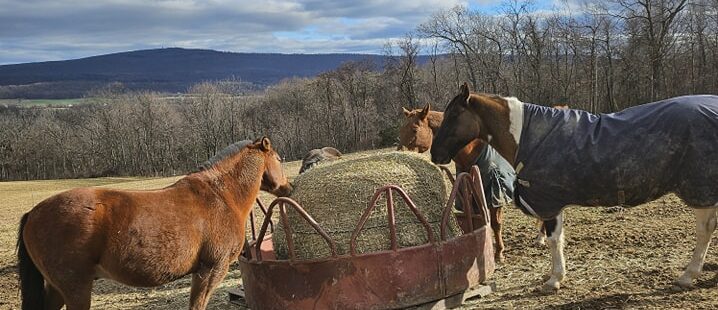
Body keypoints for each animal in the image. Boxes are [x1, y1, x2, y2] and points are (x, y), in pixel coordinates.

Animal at [16, 138, 292, 310]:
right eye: (279, 158)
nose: (288, 187)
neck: (221, 196)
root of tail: (33, 213)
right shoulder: (211, 269)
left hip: (57, 288)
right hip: (75, 287)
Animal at [400, 104, 516, 262]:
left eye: (414, 129)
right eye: (401, 130)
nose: (400, 151)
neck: (472, 150)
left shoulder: (495, 195)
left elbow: (496, 224)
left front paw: (499, 253)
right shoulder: (469, 194)